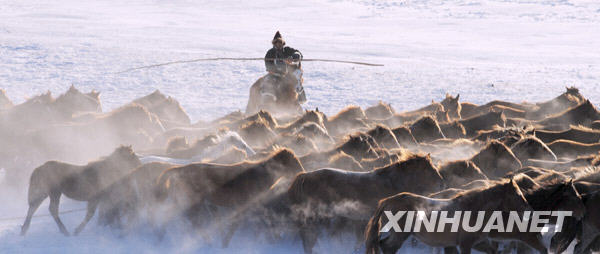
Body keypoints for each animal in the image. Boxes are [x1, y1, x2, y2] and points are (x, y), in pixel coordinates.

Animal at [366, 179, 528, 254]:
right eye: (518, 195)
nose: (529, 210)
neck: (473, 209)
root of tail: (388, 200)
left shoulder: (477, 243)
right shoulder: (465, 244)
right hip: (400, 234)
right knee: (387, 247)